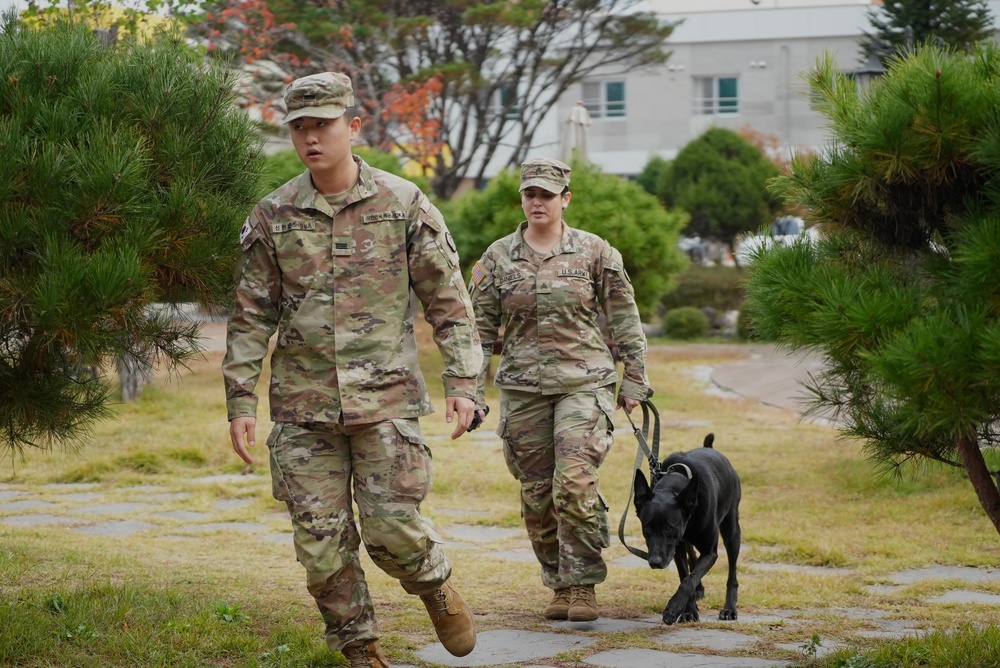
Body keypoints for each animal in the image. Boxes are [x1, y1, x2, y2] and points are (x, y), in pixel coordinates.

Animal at [636, 436, 740, 624]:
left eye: (668, 527)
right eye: (646, 527)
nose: (654, 562)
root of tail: (710, 448)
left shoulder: (709, 552)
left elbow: (690, 579)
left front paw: (673, 609)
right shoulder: (676, 549)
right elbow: (685, 575)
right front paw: (688, 611)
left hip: (732, 531)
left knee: (732, 572)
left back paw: (729, 608)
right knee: (692, 555)